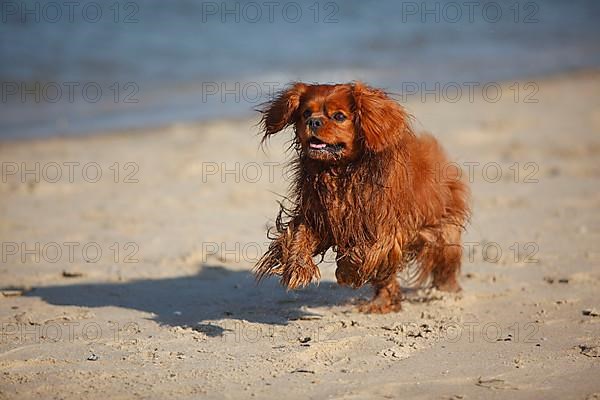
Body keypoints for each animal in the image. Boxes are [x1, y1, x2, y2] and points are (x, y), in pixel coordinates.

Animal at [253, 81, 468, 312]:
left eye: (339, 116)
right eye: (306, 113)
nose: (313, 121)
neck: (340, 171)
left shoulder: (386, 228)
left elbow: (363, 252)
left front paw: (346, 272)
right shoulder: (318, 216)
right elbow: (299, 236)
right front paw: (297, 267)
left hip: (442, 231)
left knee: (445, 261)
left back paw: (447, 291)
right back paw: (382, 302)